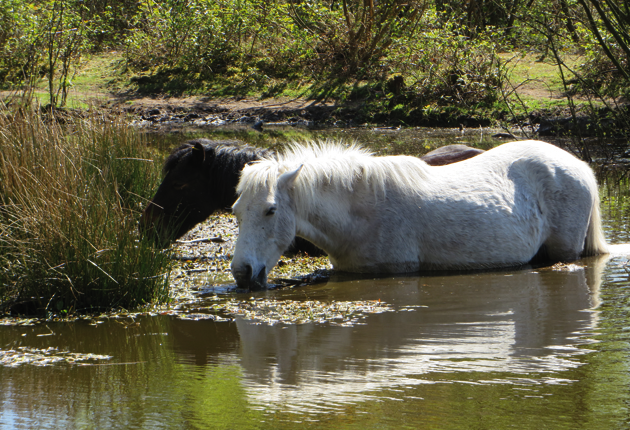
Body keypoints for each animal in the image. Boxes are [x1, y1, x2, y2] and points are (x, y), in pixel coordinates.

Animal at [233, 139, 612, 290]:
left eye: (270, 210)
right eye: (236, 211)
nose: (241, 272)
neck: (360, 214)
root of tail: (577, 165)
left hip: (564, 252)